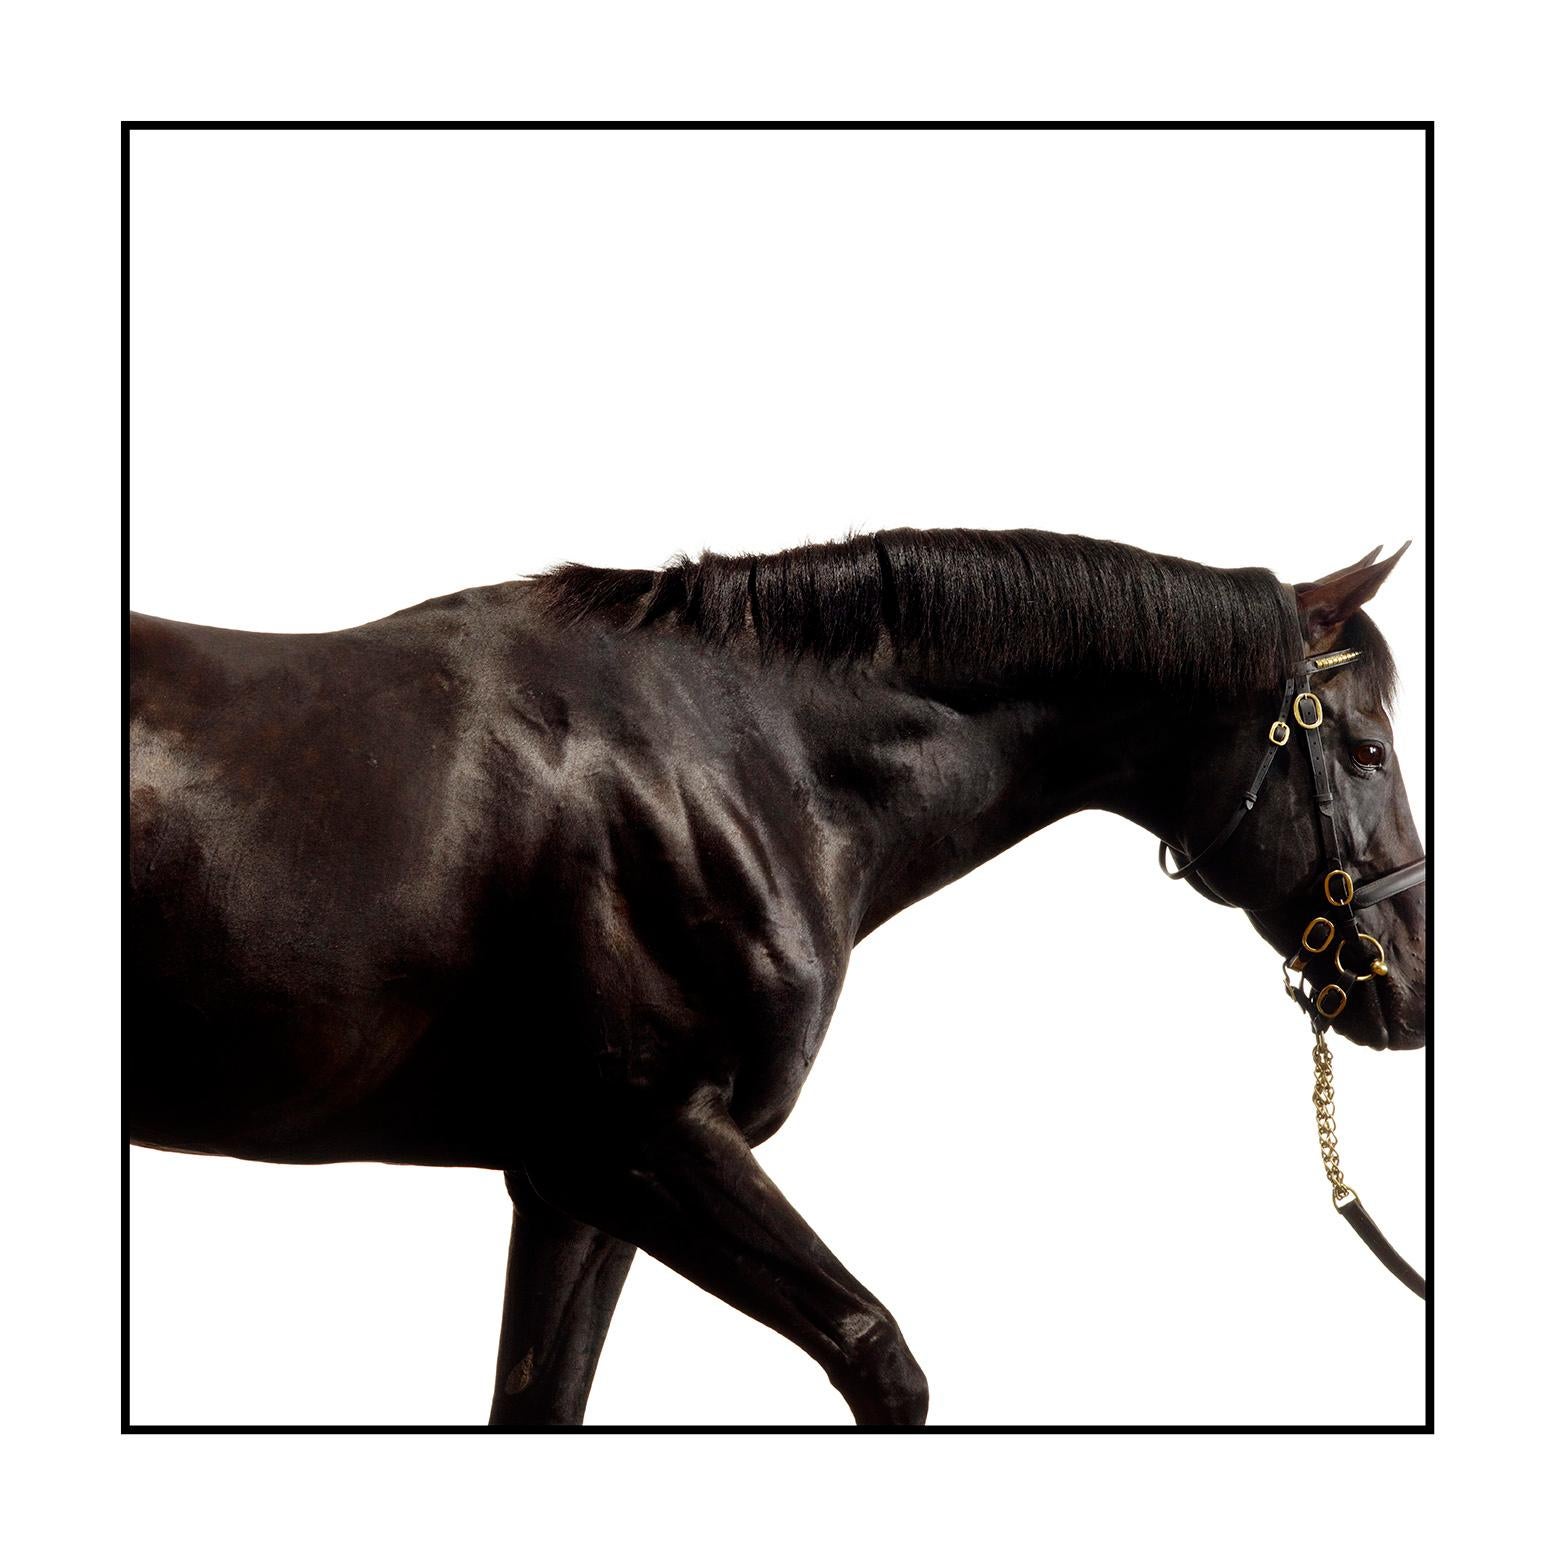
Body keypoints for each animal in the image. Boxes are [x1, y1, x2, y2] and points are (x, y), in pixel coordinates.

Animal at [130, 531, 1424, 1424]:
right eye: (1365, 749)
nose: (1408, 985)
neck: (742, 757)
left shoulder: (566, 1188)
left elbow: (538, 1403)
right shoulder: (640, 1142)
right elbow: (879, 1358)